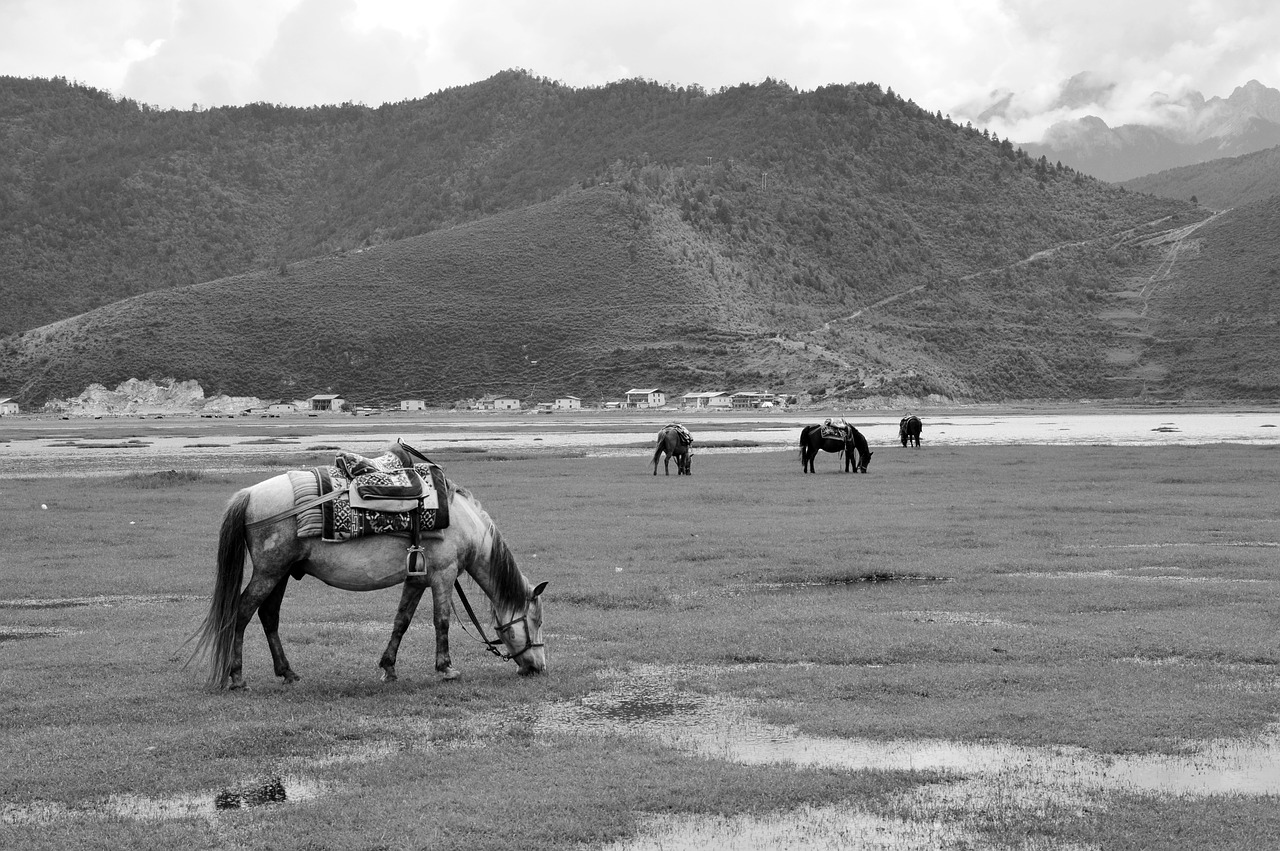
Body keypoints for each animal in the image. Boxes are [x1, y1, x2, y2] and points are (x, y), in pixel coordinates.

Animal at [188, 470, 545, 691]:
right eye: (537, 621)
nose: (538, 668)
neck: (463, 523)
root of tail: (249, 494)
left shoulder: (417, 579)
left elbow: (401, 621)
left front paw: (389, 668)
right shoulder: (443, 575)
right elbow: (441, 621)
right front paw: (446, 669)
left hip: (281, 573)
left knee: (268, 615)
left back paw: (287, 672)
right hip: (269, 571)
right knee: (243, 612)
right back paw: (237, 678)